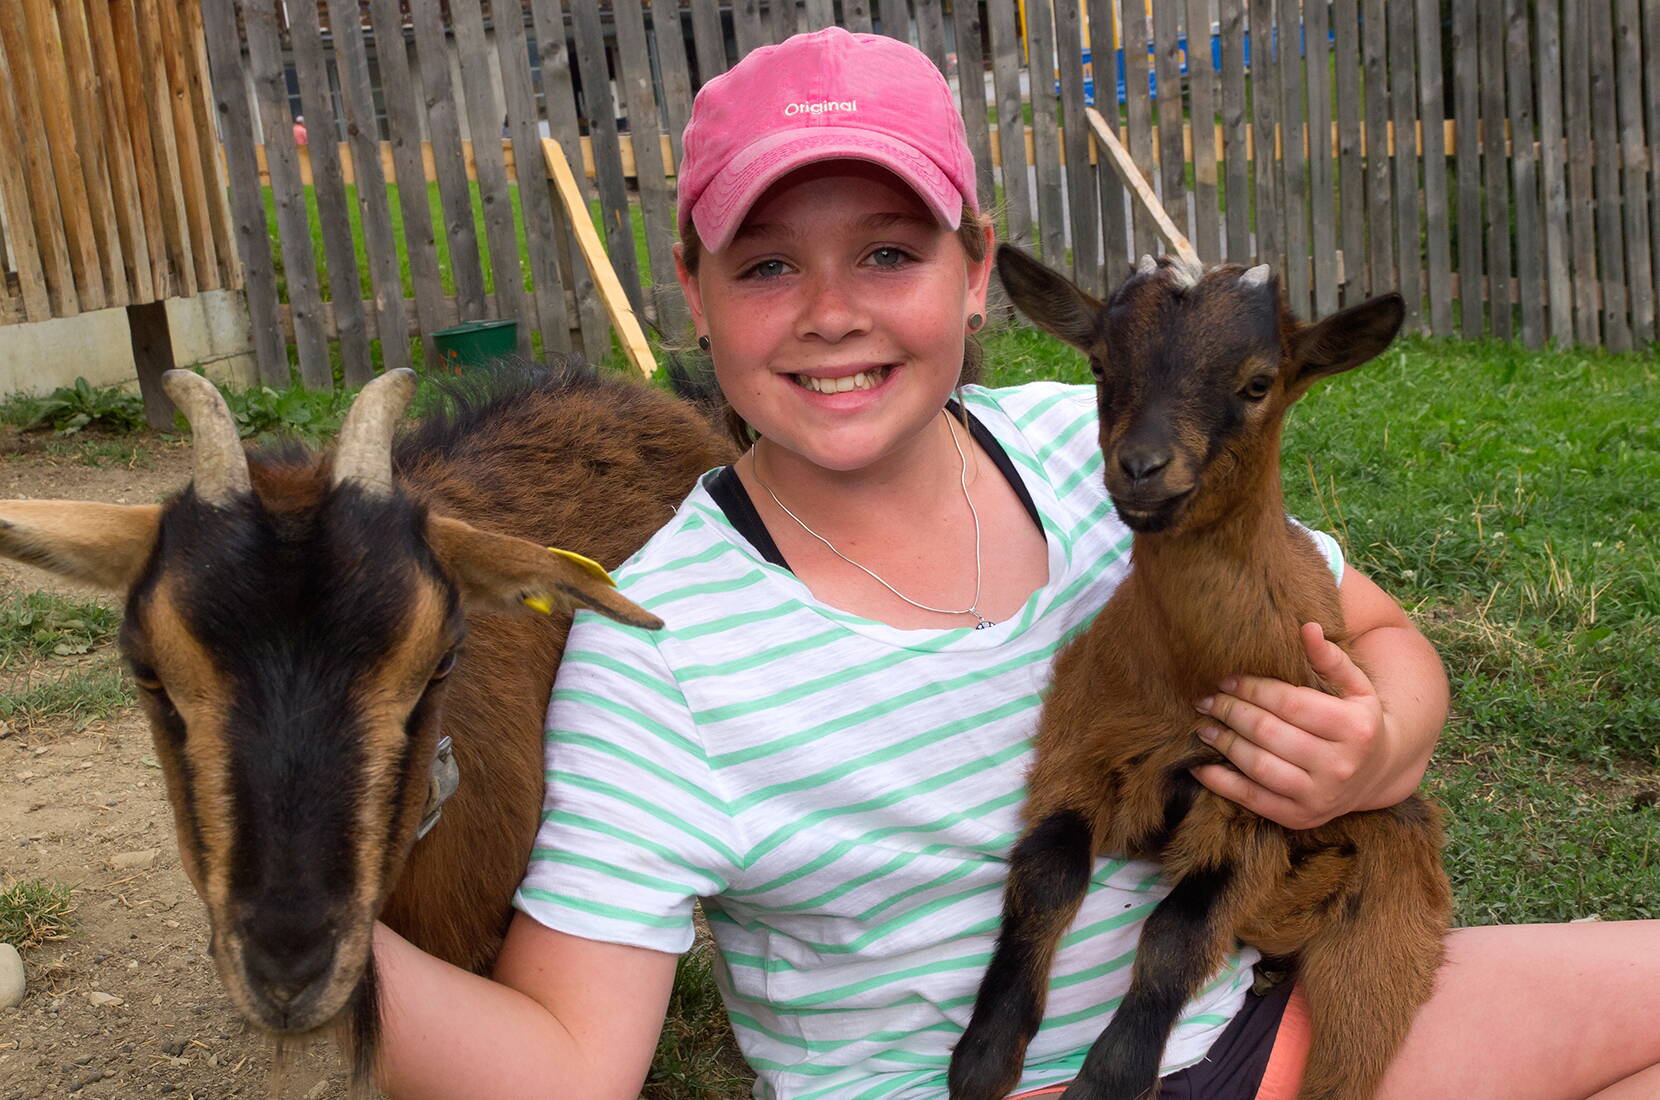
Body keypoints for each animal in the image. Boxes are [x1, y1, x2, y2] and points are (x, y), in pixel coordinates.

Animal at [949, 248, 1454, 1100]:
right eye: (1098, 363)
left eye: (1259, 382)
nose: (1142, 468)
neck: (1191, 677)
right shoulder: (1079, 747)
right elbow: (1048, 874)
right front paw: (983, 1058)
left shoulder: (1256, 805)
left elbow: (1175, 937)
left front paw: (1107, 1081)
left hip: (1386, 923)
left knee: (1352, 1042)